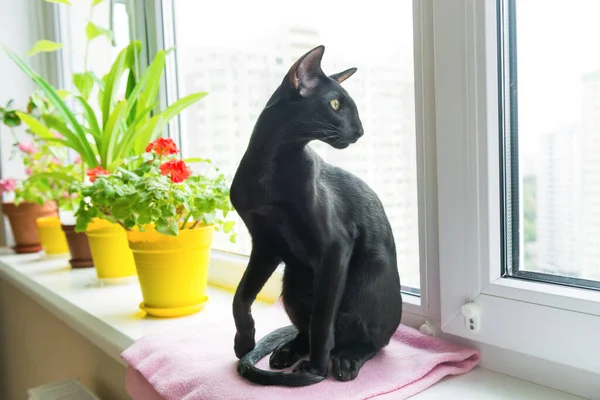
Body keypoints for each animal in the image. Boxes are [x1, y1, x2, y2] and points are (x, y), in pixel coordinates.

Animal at [230, 45, 404, 386]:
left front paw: (315, 371)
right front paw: (244, 342)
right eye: (336, 104)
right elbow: (240, 297)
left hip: (367, 278)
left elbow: (323, 320)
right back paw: (286, 351)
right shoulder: (265, 244)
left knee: (369, 341)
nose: (360, 131)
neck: (269, 169)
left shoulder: (335, 247)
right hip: (293, 281)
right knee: (305, 328)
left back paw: (345, 359)